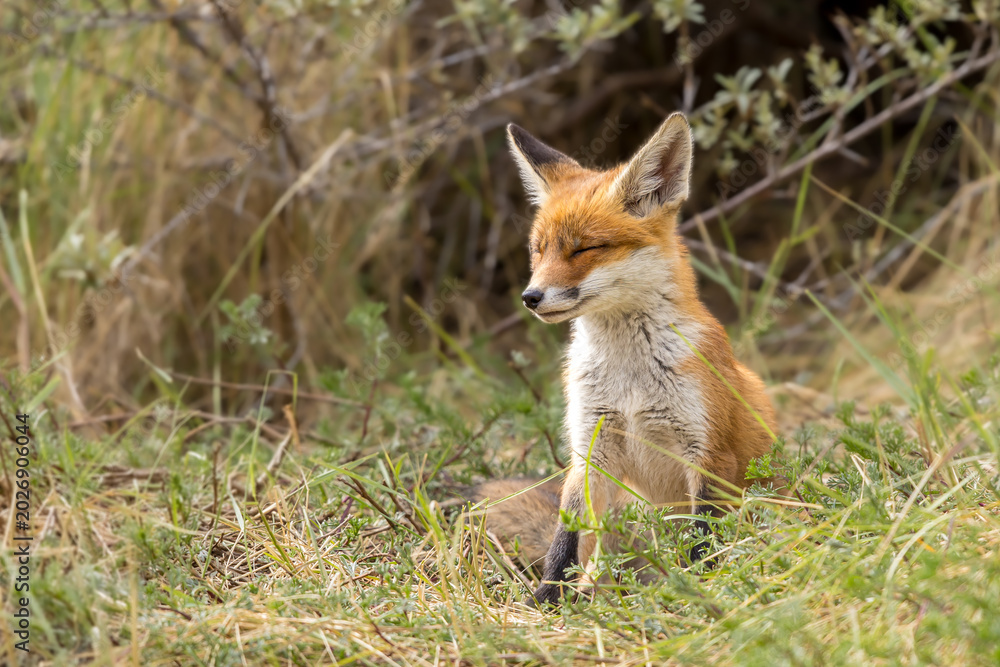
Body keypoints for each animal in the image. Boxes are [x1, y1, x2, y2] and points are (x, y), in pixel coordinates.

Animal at [473, 112, 778, 607]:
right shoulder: (589, 448)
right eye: (538, 250)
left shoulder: (708, 452)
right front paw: (547, 598)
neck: (629, 379)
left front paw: (700, 588)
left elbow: (701, 539)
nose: (530, 297)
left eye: (583, 249)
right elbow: (565, 536)